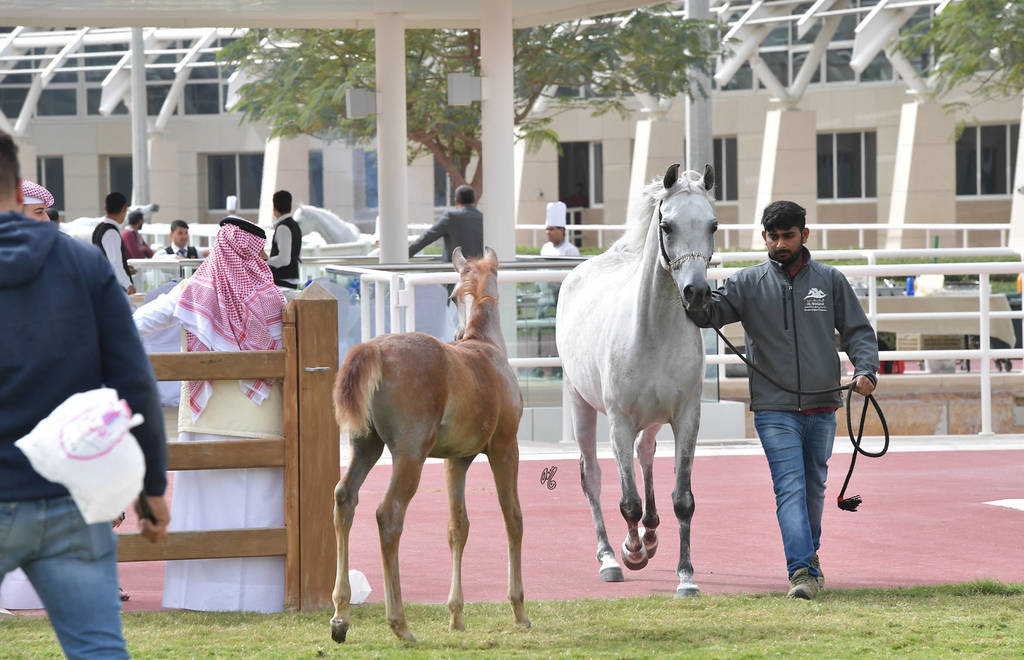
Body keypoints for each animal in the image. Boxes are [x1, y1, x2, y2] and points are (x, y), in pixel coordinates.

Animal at [329, 246, 530, 642]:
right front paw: (519, 609)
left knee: (345, 498)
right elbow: (512, 518)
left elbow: (457, 528)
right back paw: (400, 623)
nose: (456, 331)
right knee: (389, 513)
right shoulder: (504, 448)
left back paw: (341, 616)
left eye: (451, 296)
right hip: (410, 455)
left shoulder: (457, 460)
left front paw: (456, 616)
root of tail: (373, 348)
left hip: (366, 448)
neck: (484, 348)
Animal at [555, 163, 716, 597]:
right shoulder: (620, 422)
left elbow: (684, 499)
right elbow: (627, 500)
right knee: (592, 477)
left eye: (712, 225)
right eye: (667, 225)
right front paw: (631, 552)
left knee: (646, 455)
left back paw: (652, 534)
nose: (696, 293)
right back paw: (610, 556)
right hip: (580, 405)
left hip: (655, 419)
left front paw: (686, 576)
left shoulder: (686, 417)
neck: (651, 331)